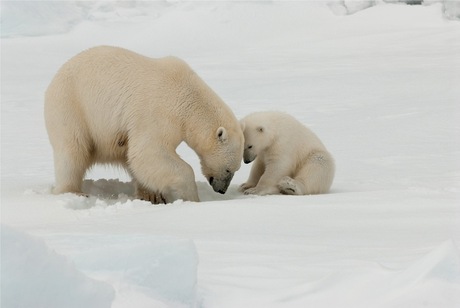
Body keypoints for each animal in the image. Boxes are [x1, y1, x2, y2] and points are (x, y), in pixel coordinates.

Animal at [45, 45, 244, 203]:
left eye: (235, 169)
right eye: (228, 169)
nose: (221, 190)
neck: (187, 97)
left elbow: (142, 158)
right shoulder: (157, 113)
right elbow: (148, 151)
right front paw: (192, 198)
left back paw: (149, 194)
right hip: (71, 108)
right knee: (72, 152)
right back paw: (73, 192)